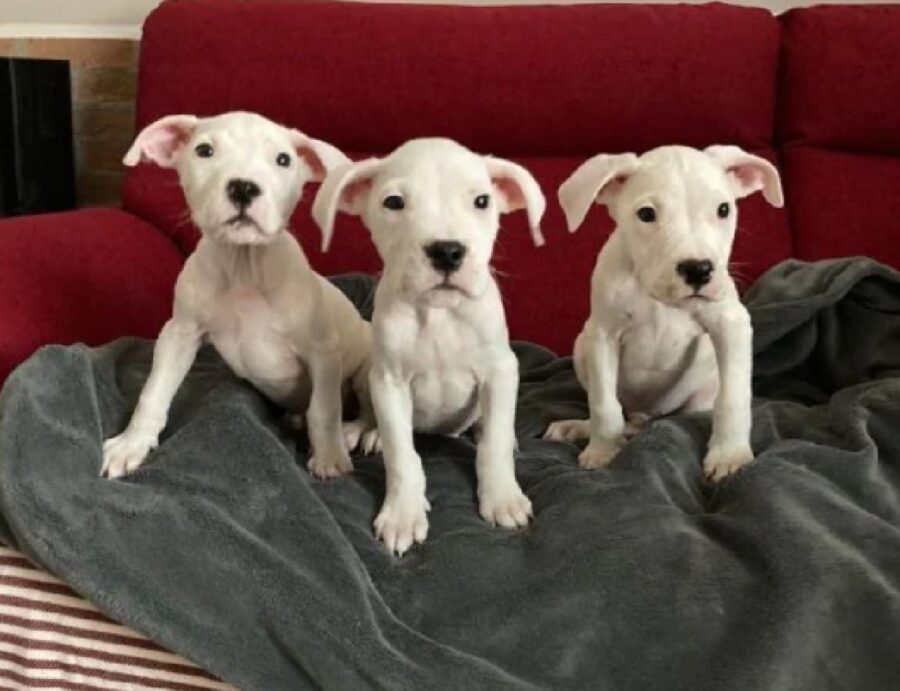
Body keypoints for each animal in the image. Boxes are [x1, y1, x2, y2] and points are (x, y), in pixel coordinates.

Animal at [103, 112, 376, 482]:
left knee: (369, 411)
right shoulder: (179, 333)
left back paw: (358, 433)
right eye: (204, 150)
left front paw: (330, 456)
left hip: (367, 370)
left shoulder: (324, 351)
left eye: (283, 159)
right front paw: (132, 443)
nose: (244, 187)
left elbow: (324, 408)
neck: (243, 267)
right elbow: (154, 391)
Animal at [312, 138, 544, 556]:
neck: (439, 314)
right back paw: (363, 431)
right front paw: (403, 513)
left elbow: (496, 442)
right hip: (368, 375)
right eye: (394, 203)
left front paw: (502, 497)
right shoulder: (389, 382)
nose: (448, 251)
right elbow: (403, 454)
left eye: (482, 201)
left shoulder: (501, 372)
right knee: (373, 417)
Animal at [544, 145, 784, 482]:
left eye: (723, 209)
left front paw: (730, 454)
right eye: (646, 214)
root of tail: (647, 416)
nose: (698, 269)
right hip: (582, 349)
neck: (658, 297)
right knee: (620, 417)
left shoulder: (731, 325)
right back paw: (578, 427)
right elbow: (604, 404)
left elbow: (733, 398)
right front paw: (602, 450)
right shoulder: (602, 335)